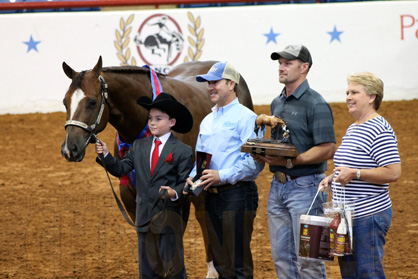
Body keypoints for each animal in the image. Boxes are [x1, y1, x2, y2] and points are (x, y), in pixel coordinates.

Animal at [60, 56, 253, 278]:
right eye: (65, 101)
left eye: (92, 102)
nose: (69, 149)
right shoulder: (129, 193)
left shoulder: (177, 194)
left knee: (204, 216)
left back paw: (213, 270)